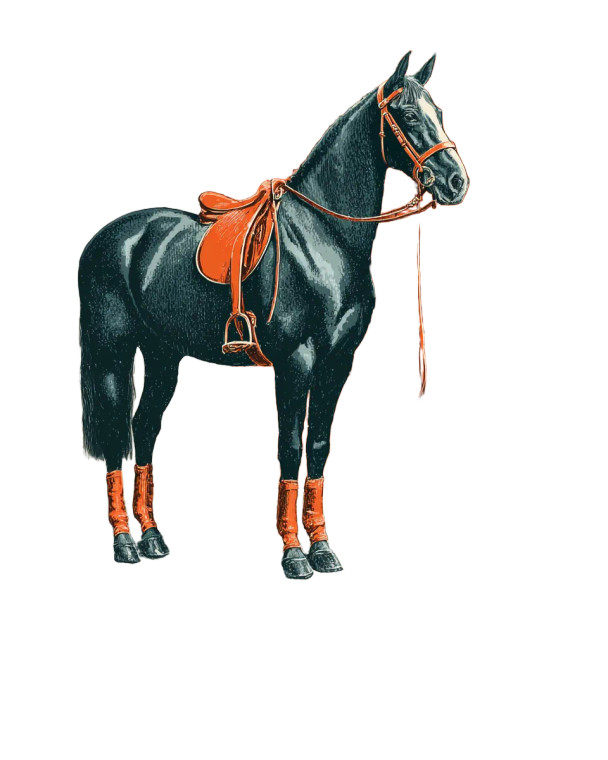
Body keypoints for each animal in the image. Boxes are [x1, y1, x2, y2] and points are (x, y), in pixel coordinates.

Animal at [79, 51, 469, 578]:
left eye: (440, 113)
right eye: (408, 115)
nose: (456, 181)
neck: (325, 236)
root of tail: (108, 237)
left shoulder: (337, 363)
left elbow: (318, 446)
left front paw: (322, 547)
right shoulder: (295, 362)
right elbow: (289, 447)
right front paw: (293, 554)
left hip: (163, 357)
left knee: (144, 427)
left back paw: (153, 537)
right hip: (113, 353)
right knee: (117, 431)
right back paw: (123, 542)